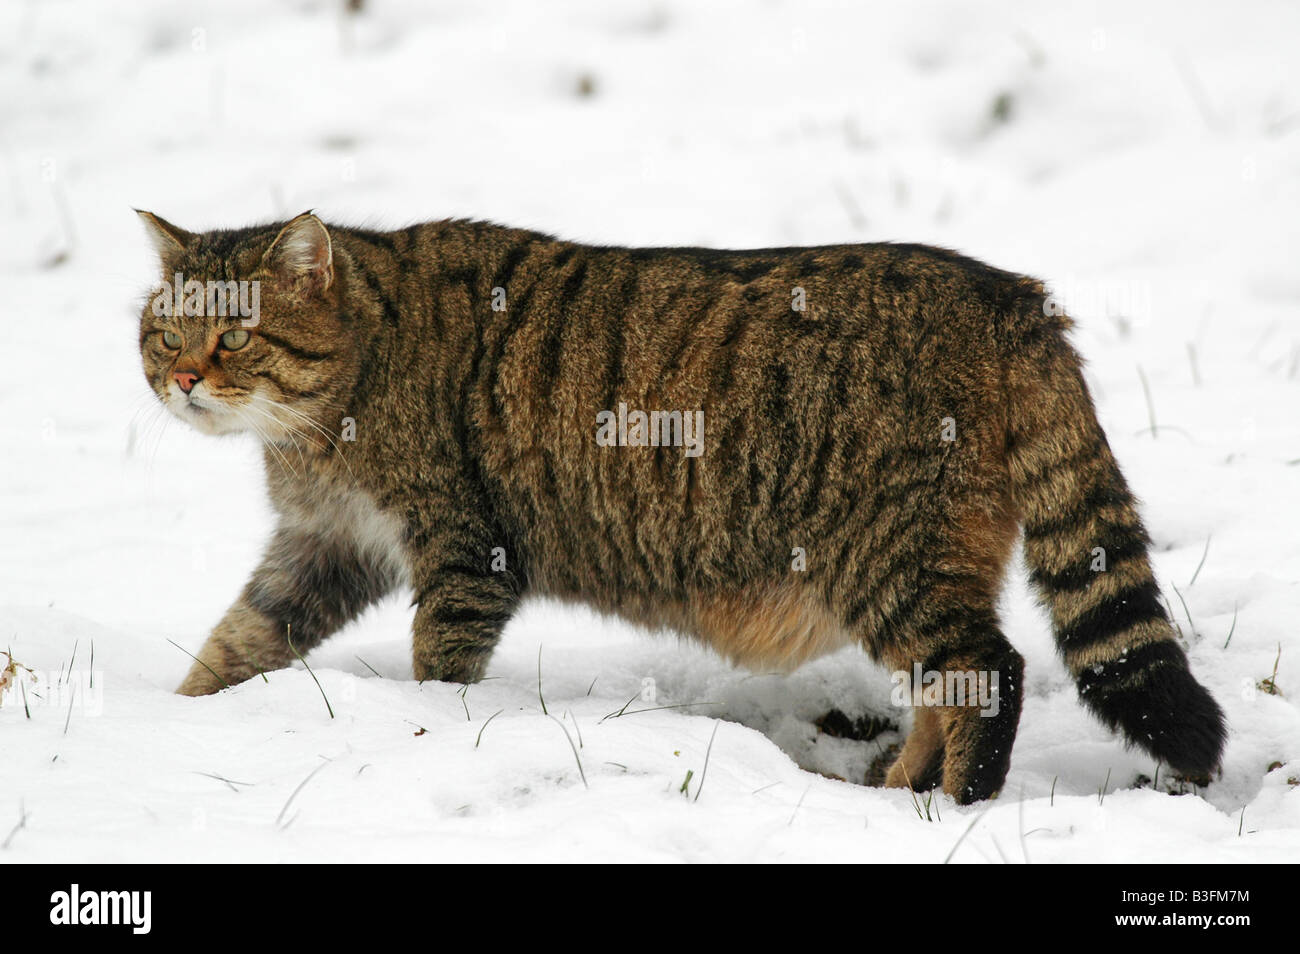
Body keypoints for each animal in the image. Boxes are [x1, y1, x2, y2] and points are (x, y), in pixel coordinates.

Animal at [137, 210, 1222, 805]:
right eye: (162, 330)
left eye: (235, 334)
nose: (184, 378)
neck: (320, 418)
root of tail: (1012, 295)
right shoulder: (325, 547)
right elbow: (236, 643)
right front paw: (176, 722)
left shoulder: (460, 553)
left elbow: (437, 672)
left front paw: (429, 729)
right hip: (927, 561)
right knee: (940, 689)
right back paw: (894, 794)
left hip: (889, 552)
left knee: (986, 674)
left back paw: (951, 808)